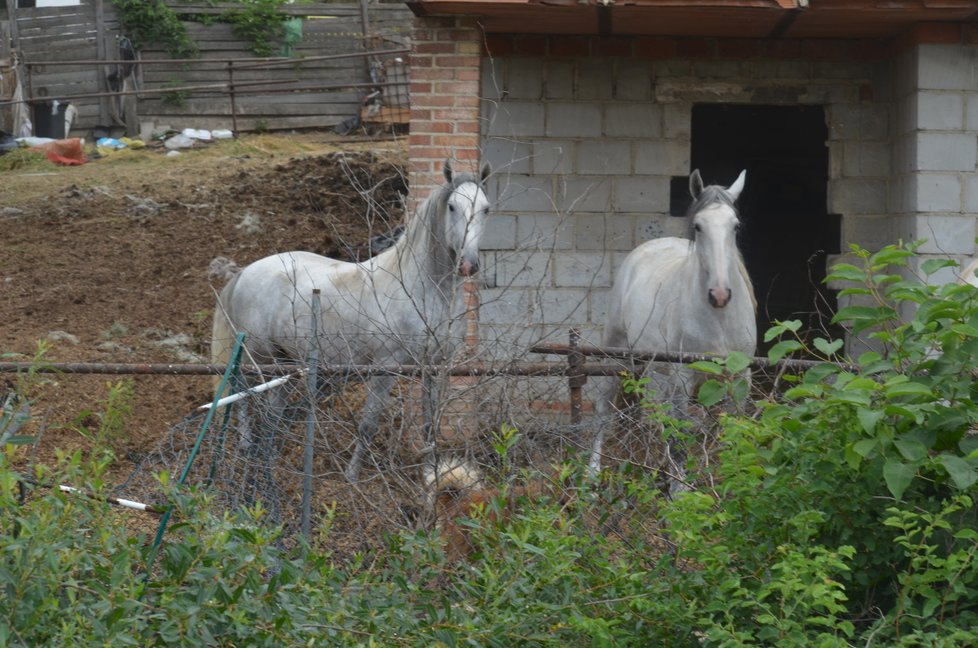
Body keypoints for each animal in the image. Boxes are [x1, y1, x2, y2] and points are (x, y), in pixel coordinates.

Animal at [211, 158, 492, 480]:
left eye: (486, 208)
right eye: (452, 207)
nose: (469, 265)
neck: (422, 288)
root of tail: (245, 272)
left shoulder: (433, 367)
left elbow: (429, 425)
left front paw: (430, 473)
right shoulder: (385, 368)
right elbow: (368, 424)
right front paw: (352, 477)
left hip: (285, 361)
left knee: (273, 408)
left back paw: (270, 455)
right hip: (259, 356)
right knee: (240, 390)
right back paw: (246, 446)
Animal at [588, 170, 756, 484]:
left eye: (736, 226)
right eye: (698, 226)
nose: (719, 295)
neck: (719, 319)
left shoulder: (739, 377)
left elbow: (728, 431)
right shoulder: (682, 378)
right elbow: (681, 439)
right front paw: (680, 488)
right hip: (617, 354)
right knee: (605, 410)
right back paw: (591, 477)